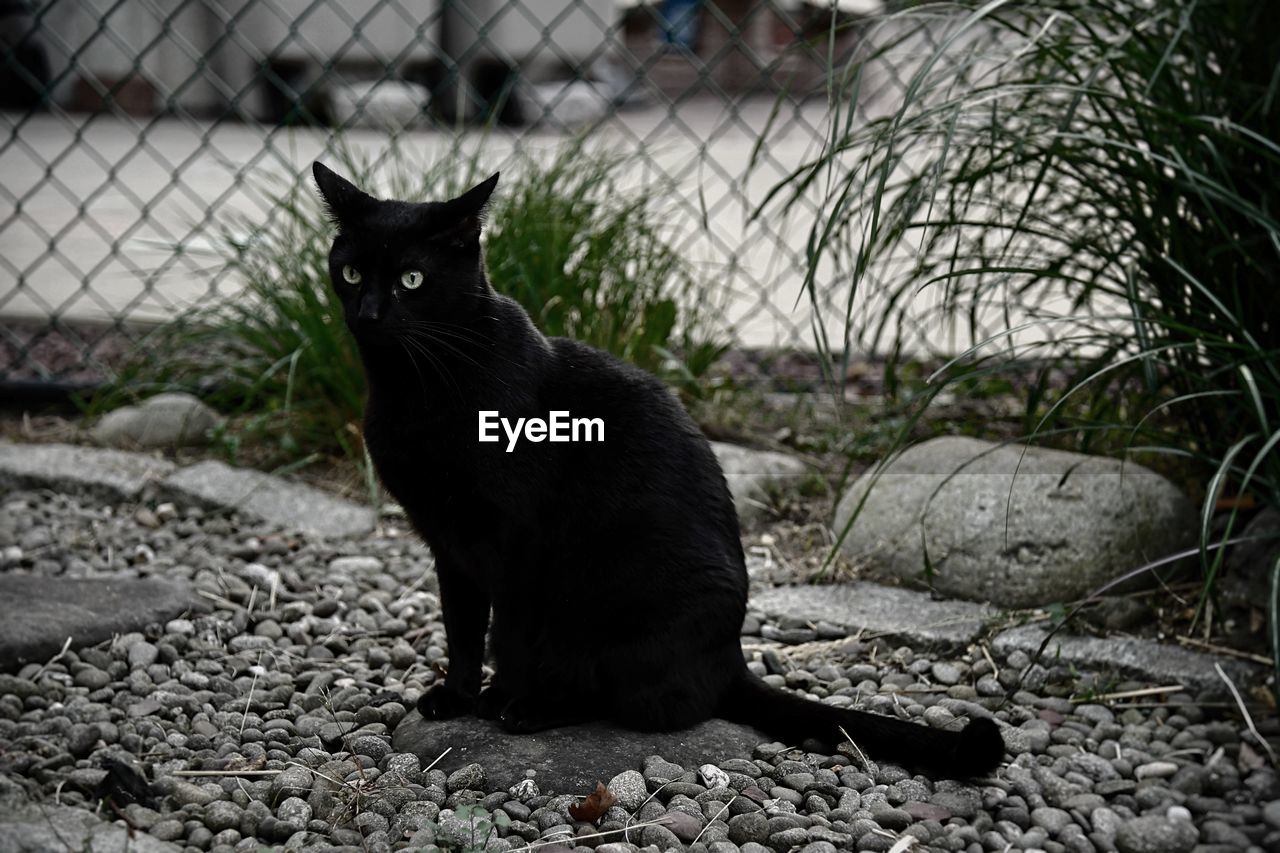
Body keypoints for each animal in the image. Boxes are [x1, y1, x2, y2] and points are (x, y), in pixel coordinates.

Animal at [314, 161, 1003, 778]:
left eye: (411, 279)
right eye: (351, 272)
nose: (368, 313)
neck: (415, 389)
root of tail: (731, 657)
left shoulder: (514, 544)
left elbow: (506, 635)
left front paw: (502, 699)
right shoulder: (449, 544)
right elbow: (460, 629)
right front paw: (455, 697)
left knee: (641, 700)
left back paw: (535, 708)